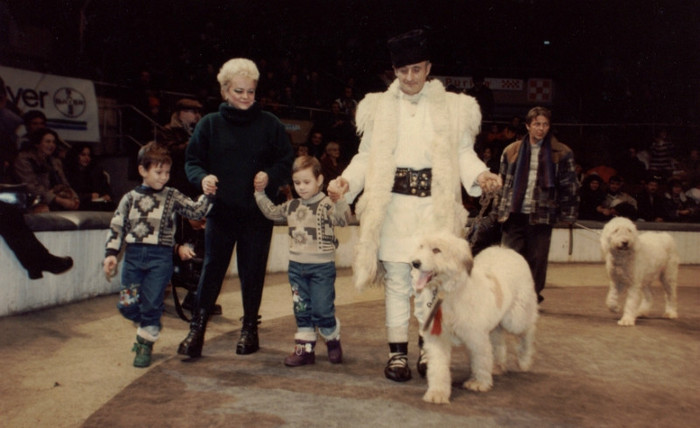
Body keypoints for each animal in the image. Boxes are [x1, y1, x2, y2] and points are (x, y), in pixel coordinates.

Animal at [410, 232, 540, 402]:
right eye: (420, 247)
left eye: (436, 250)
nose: (415, 263)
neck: (449, 292)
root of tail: (504, 250)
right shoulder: (438, 337)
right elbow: (438, 367)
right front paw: (437, 392)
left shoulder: (476, 336)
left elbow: (481, 359)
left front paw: (479, 383)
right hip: (496, 321)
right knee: (499, 338)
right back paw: (498, 365)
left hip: (516, 317)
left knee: (528, 329)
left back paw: (525, 359)